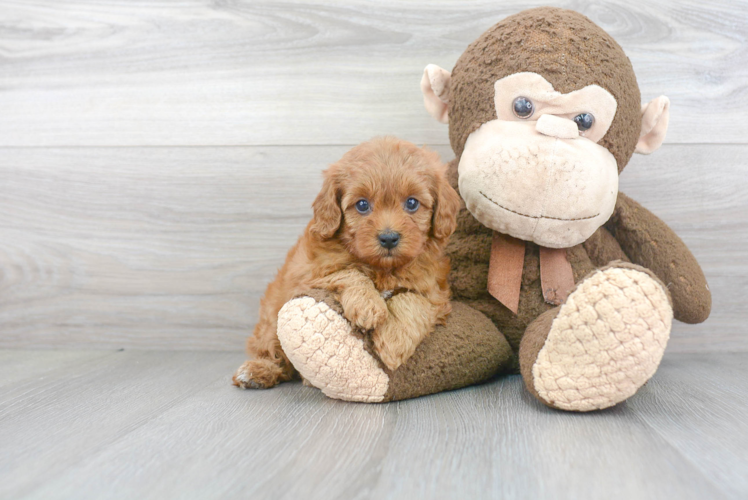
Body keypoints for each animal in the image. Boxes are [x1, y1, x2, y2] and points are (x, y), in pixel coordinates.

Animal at [232, 137, 462, 390]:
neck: (382, 268)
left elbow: (413, 300)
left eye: (412, 203)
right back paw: (256, 371)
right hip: (270, 320)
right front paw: (368, 306)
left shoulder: (434, 291)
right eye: (362, 205)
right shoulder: (308, 275)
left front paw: (394, 341)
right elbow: (350, 272)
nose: (389, 238)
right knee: (273, 351)